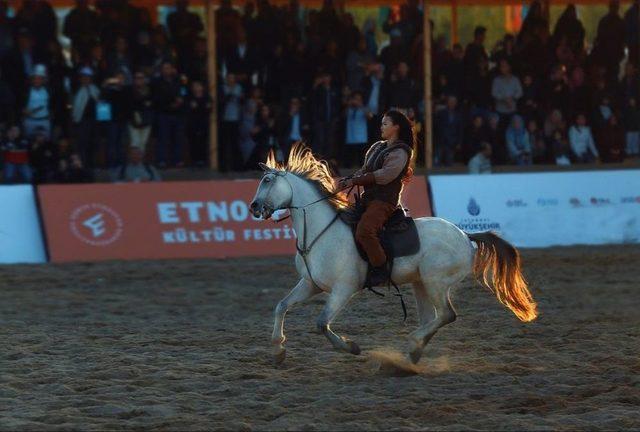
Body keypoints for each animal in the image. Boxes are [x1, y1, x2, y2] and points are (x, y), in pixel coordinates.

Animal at [248, 145, 536, 364]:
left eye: (268, 181)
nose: (254, 207)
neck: (320, 232)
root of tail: (465, 236)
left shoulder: (344, 289)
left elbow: (321, 323)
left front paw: (351, 347)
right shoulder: (311, 284)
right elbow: (281, 306)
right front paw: (278, 349)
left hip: (435, 282)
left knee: (446, 315)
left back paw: (413, 345)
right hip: (421, 283)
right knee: (433, 318)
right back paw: (414, 352)